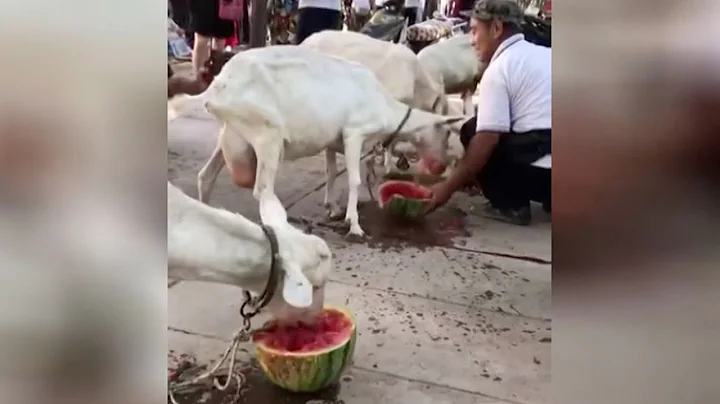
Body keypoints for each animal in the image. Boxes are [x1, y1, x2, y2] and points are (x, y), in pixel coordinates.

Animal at [168, 46, 466, 238]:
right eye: (447, 133)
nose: (441, 166)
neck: (385, 107)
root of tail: (219, 85)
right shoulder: (354, 132)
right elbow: (354, 179)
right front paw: (354, 224)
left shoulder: (332, 141)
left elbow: (332, 171)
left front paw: (334, 208)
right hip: (266, 132)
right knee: (262, 190)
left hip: (232, 132)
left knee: (206, 175)